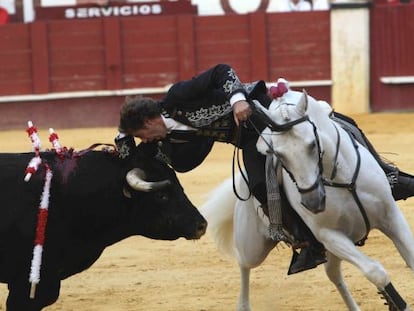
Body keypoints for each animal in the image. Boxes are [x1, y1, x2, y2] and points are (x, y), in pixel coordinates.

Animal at [202, 90, 414, 311]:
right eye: (278, 154)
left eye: (312, 144)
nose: (313, 201)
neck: (341, 179)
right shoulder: (329, 235)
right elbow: (376, 272)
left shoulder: (391, 216)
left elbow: (410, 259)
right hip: (253, 245)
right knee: (244, 263)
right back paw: (243, 305)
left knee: (333, 274)